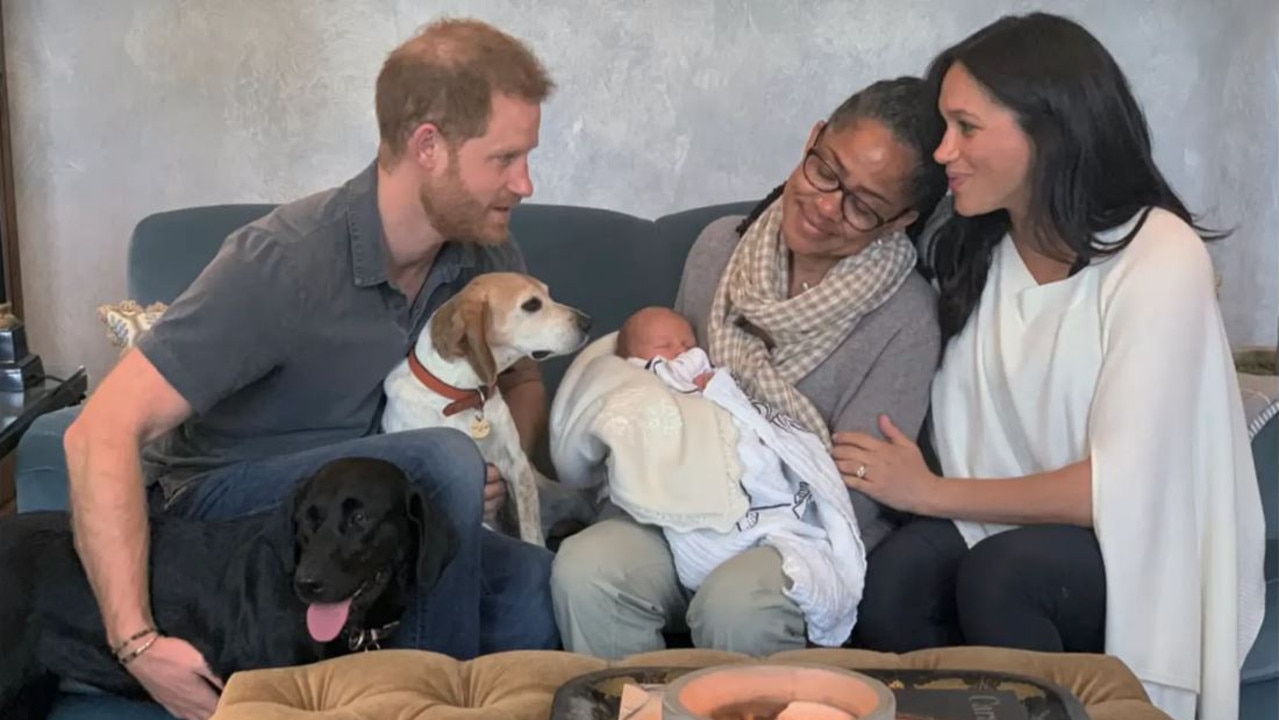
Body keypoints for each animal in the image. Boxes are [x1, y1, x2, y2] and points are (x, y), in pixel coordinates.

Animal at [381, 274, 590, 547]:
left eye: (548, 294)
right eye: (532, 305)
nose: (588, 323)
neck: (465, 396)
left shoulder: (517, 465)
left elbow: (532, 535)